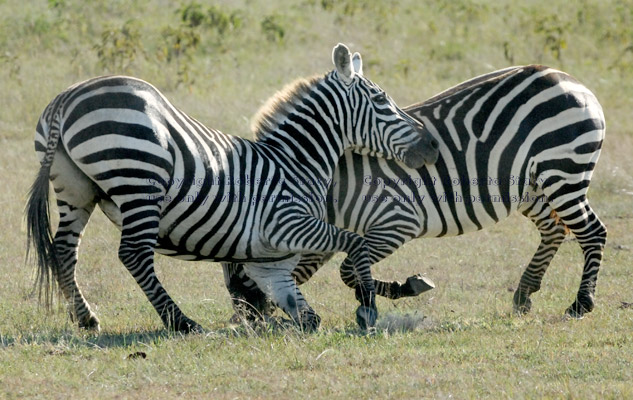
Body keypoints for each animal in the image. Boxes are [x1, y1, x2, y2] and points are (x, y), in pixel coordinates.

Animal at [24, 43, 440, 332]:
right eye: (382, 100)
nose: (432, 145)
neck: (297, 160)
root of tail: (68, 98)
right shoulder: (287, 224)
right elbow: (354, 244)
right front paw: (368, 305)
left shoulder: (271, 261)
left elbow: (301, 309)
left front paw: (281, 320)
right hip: (140, 179)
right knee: (133, 254)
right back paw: (181, 322)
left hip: (75, 189)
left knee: (65, 249)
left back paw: (85, 318)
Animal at [225, 65, 604, 322]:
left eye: (239, 263)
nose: (244, 320)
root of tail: (570, 78)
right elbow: (336, 267)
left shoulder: (396, 222)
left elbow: (348, 270)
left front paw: (399, 289)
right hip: (532, 185)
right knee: (554, 229)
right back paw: (525, 293)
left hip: (563, 172)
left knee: (592, 232)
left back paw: (581, 304)